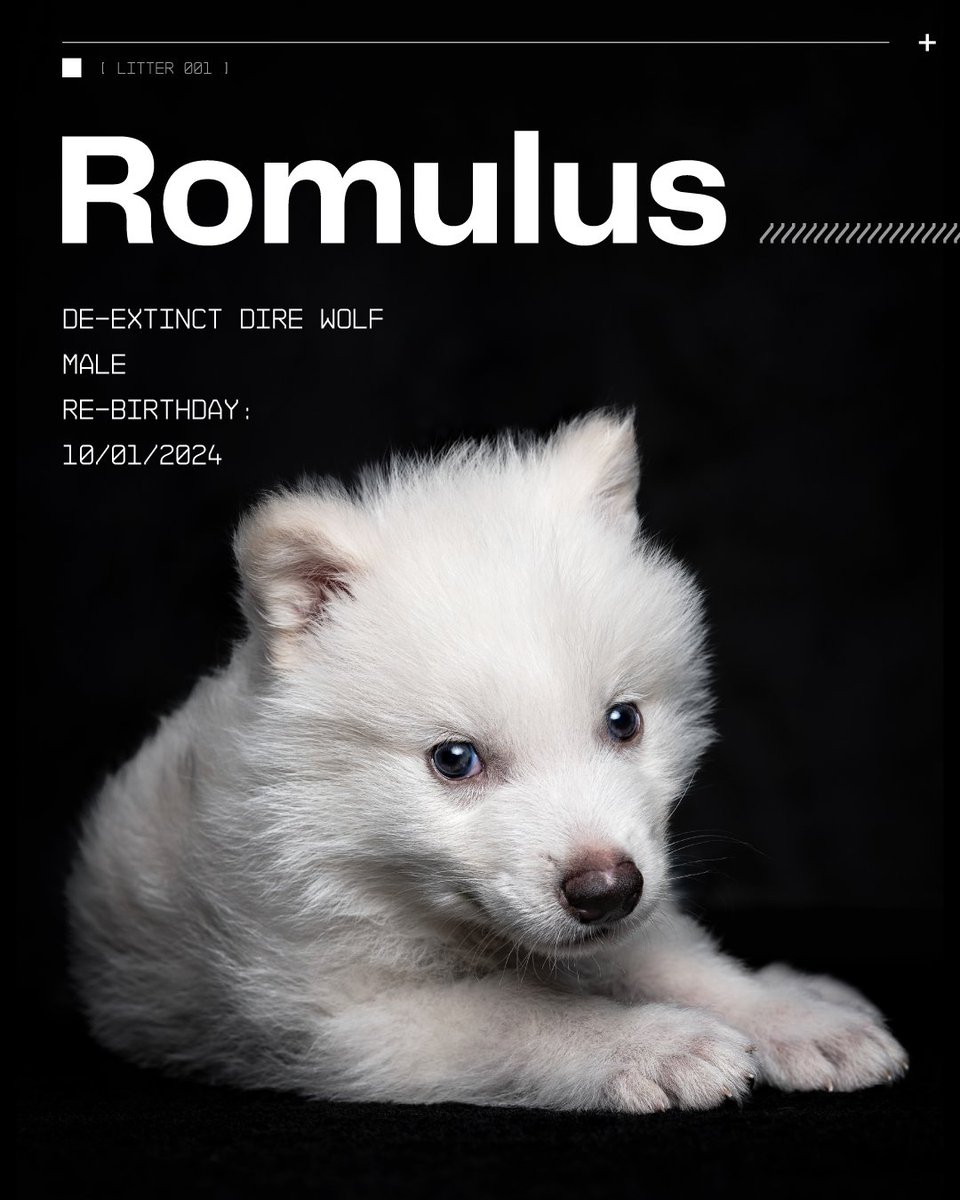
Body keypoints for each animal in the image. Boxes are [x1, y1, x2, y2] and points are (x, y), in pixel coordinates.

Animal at [67, 412, 907, 1110]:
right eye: (455, 760)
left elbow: (679, 960)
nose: (607, 892)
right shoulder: (335, 1015)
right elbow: (517, 1012)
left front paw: (790, 1019)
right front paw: (652, 1044)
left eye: (624, 722)